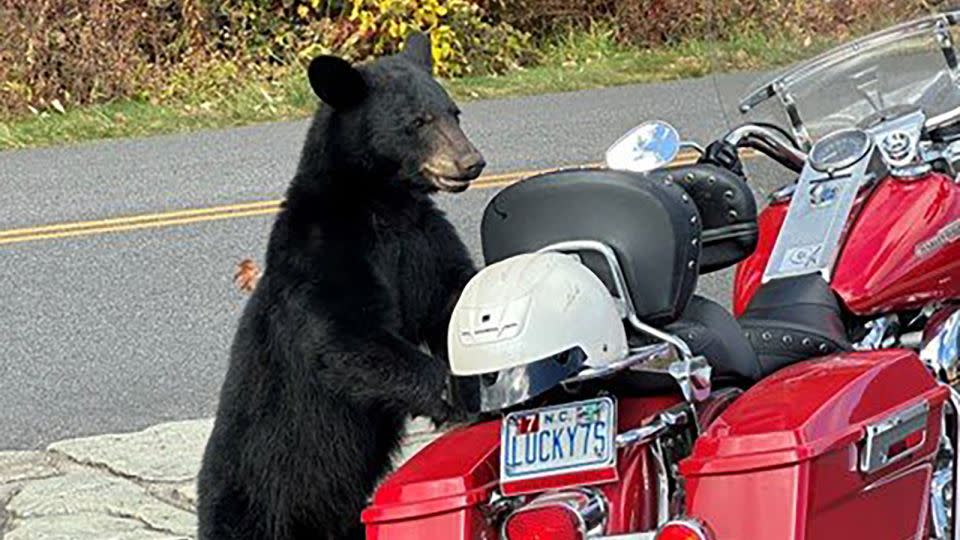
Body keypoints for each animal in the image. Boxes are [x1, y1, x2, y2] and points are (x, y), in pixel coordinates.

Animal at [196, 33, 484, 540]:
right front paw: (456, 390)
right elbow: (344, 336)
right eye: (418, 121)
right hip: (254, 503)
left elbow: (451, 298)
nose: (470, 163)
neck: (382, 203)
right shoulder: (322, 252)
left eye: (455, 112)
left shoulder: (423, 242)